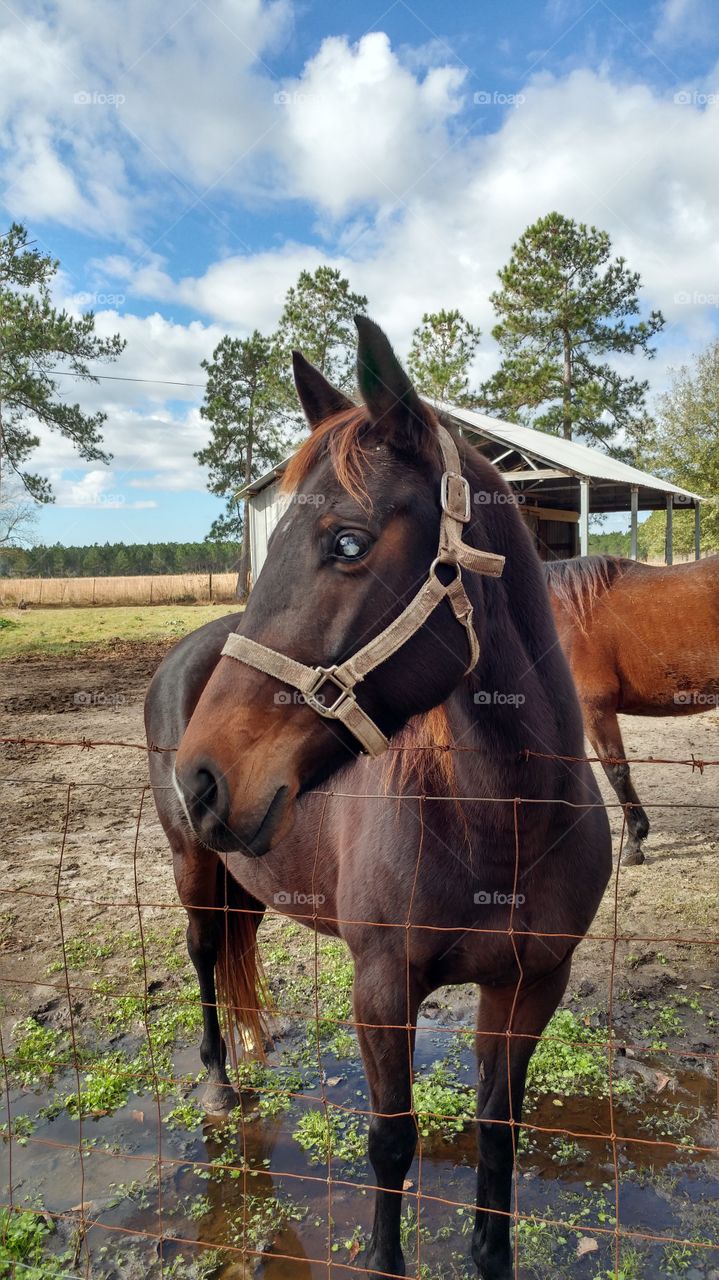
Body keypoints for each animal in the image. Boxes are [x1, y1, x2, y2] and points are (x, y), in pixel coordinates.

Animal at [145, 312, 608, 1280]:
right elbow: (391, 1145)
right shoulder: (383, 988)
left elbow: (497, 1134)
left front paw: (492, 1256)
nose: (202, 776)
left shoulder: (531, 986)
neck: (501, 823)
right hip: (193, 865)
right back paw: (218, 1081)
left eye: (347, 542)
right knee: (204, 958)